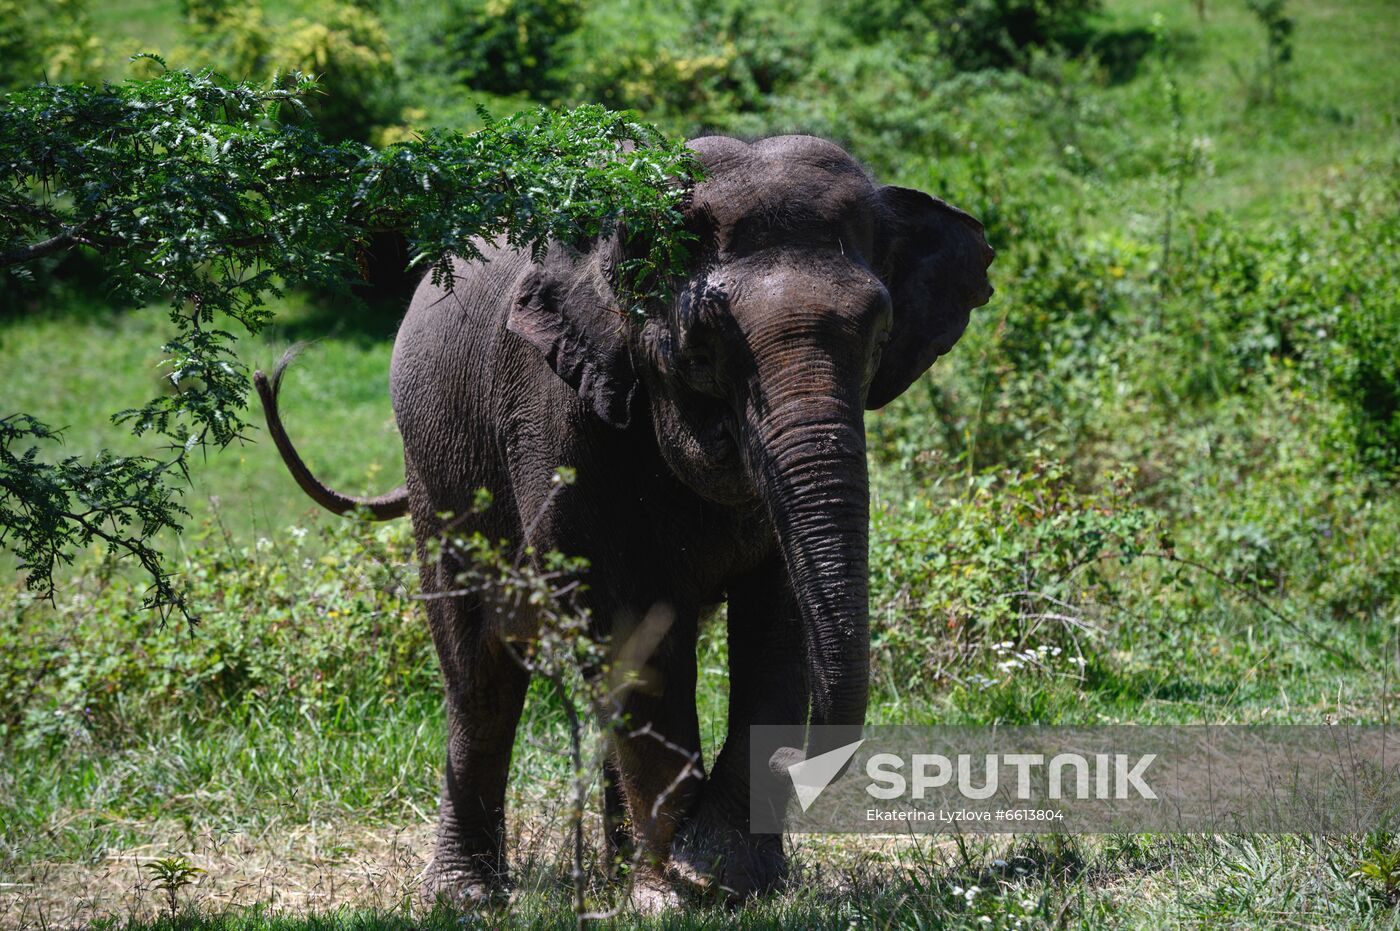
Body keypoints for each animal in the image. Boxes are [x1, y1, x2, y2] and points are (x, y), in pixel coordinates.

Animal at [254, 134, 996, 901]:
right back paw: (468, 894)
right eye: (700, 351)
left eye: (879, 340)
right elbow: (634, 626)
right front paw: (678, 888)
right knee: (480, 671)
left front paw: (730, 876)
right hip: (435, 466)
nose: (799, 761)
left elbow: (778, 622)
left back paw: (613, 871)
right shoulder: (559, 411)